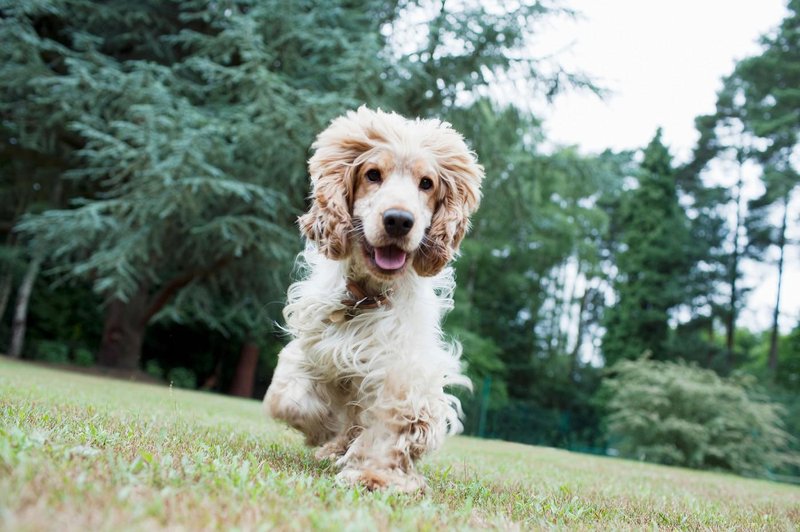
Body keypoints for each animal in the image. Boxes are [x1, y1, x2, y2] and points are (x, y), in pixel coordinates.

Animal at [266, 106, 484, 492]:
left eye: (426, 183)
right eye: (373, 174)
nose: (398, 220)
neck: (366, 296)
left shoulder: (402, 369)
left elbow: (390, 422)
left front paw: (374, 475)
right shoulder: (312, 347)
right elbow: (288, 397)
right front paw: (324, 430)